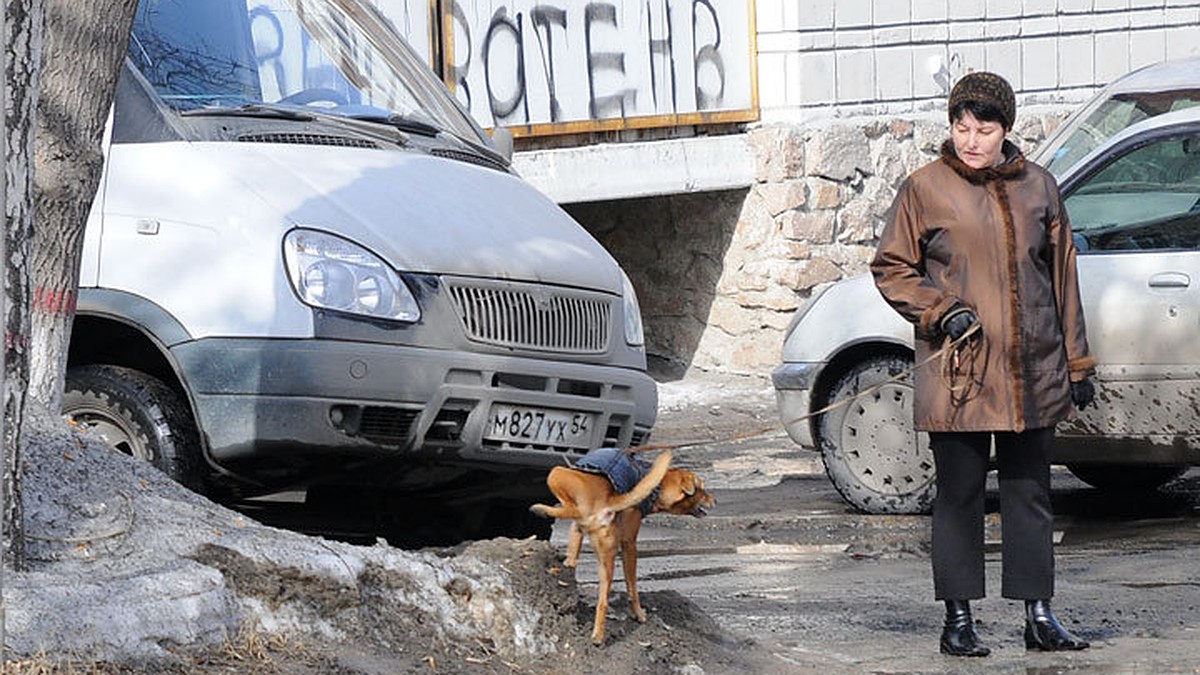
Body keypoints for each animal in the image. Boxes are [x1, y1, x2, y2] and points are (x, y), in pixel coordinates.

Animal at [532, 446, 710, 638]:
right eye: (702, 489)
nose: (714, 499)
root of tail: (608, 502)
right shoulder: (620, 542)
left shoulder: (628, 543)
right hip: (606, 558)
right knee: (603, 601)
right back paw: (598, 636)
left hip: (556, 472)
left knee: (572, 510)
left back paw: (542, 509)